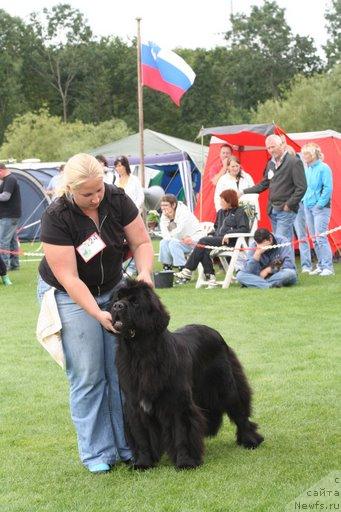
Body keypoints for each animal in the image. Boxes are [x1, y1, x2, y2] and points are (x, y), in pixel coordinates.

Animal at [111, 280, 262, 468]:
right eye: (117, 298)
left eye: (135, 302)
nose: (117, 306)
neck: (141, 354)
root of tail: (214, 332)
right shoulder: (135, 404)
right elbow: (141, 436)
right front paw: (143, 463)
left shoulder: (178, 402)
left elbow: (182, 433)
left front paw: (186, 462)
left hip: (226, 386)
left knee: (240, 411)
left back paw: (250, 440)